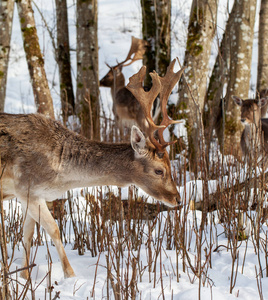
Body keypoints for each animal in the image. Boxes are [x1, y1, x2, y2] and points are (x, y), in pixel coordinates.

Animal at [0, 58, 183, 278]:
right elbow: (54, 229)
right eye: (159, 170)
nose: (177, 199)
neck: (60, 177)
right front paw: (70, 275)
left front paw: (25, 277)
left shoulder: (29, 194)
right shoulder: (26, 187)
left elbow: (27, 234)